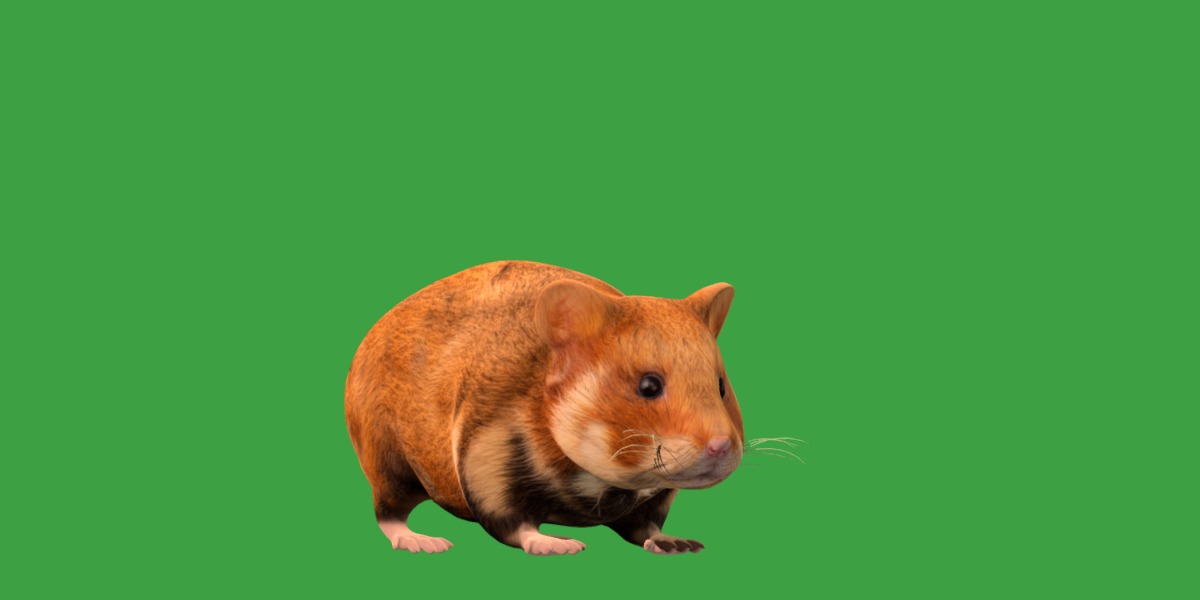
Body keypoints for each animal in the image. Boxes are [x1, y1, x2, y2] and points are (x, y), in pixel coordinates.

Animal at [344, 261, 743, 555]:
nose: (721, 446)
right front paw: (557, 544)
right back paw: (423, 542)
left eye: (721, 386)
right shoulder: (485, 456)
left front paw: (674, 543)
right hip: (386, 457)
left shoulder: (653, 498)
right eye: (649, 386)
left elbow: (645, 526)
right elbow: (511, 522)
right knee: (388, 513)